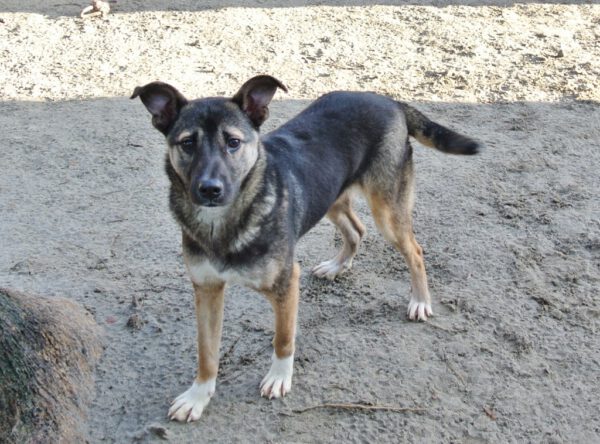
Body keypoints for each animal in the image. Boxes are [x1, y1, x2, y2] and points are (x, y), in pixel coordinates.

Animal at [130, 74, 478, 422]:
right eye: (187, 143)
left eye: (233, 142)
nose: (210, 189)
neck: (224, 223)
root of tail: (388, 100)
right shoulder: (206, 289)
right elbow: (206, 352)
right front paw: (198, 395)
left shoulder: (285, 284)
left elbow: (283, 339)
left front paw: (279, 378)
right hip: (330, 196)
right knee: (356, 229)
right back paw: (337, 266)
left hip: (387, 211)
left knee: (414, 251)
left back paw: (419, 301)